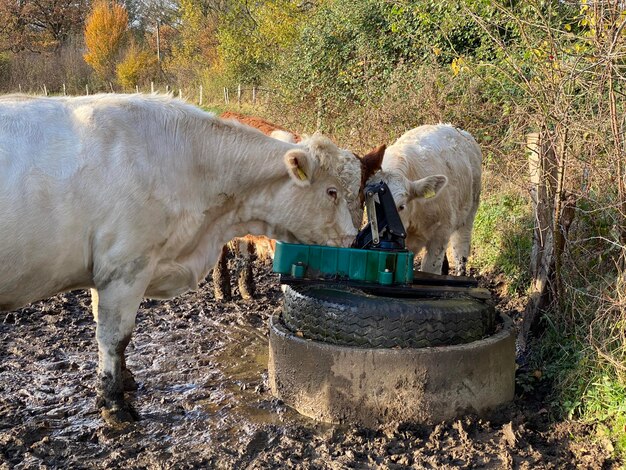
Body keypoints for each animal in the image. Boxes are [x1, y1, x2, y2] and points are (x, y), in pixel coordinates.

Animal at [0, 93, 366, 424]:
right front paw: (114, 404)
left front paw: (125, 380)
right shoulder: (125, 268)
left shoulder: (104, 273)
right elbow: (114, 337)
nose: (351, 240)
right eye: (332, 191)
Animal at [370, 124, 482, 276]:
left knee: (461, 248)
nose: (381, 235)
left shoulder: (441, 232)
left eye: (401, 206)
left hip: (470, 211)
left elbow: (430, 268)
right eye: (373, 204)